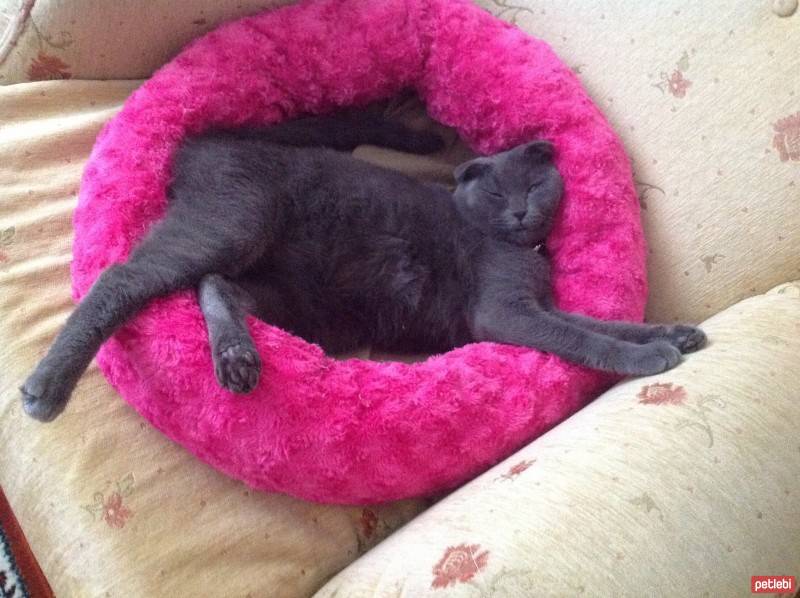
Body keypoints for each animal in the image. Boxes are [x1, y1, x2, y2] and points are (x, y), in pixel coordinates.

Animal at [18, 112, 708, 422]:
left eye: (535, 188)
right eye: (495, 191)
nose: (518, 212)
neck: (520, 252)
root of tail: (204, 141)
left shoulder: (536, 305)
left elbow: (600, 322)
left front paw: (674, 333)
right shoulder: (504, 311)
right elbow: (583, 336)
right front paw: (650, 357)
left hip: (298, 298)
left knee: (216, 287)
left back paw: (237, 360)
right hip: (232, 221)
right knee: (123, 278)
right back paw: (46, 388)